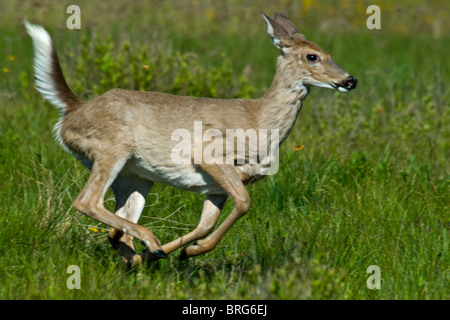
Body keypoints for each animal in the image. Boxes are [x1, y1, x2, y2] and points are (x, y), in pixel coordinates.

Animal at [25, 11, 356, 266]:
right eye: (312, 56)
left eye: (328, 52)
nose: (350, 80)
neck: (259, 121)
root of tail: (73, 110)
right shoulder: (210, 156)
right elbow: (244, 203)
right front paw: (178, 252)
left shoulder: (217, 187)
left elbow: (206, 224)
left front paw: (180, 252)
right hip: (112, 148)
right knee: (87, 201)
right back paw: (149, 241)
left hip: (136, 177)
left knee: (117, 223)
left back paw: (137, 254)